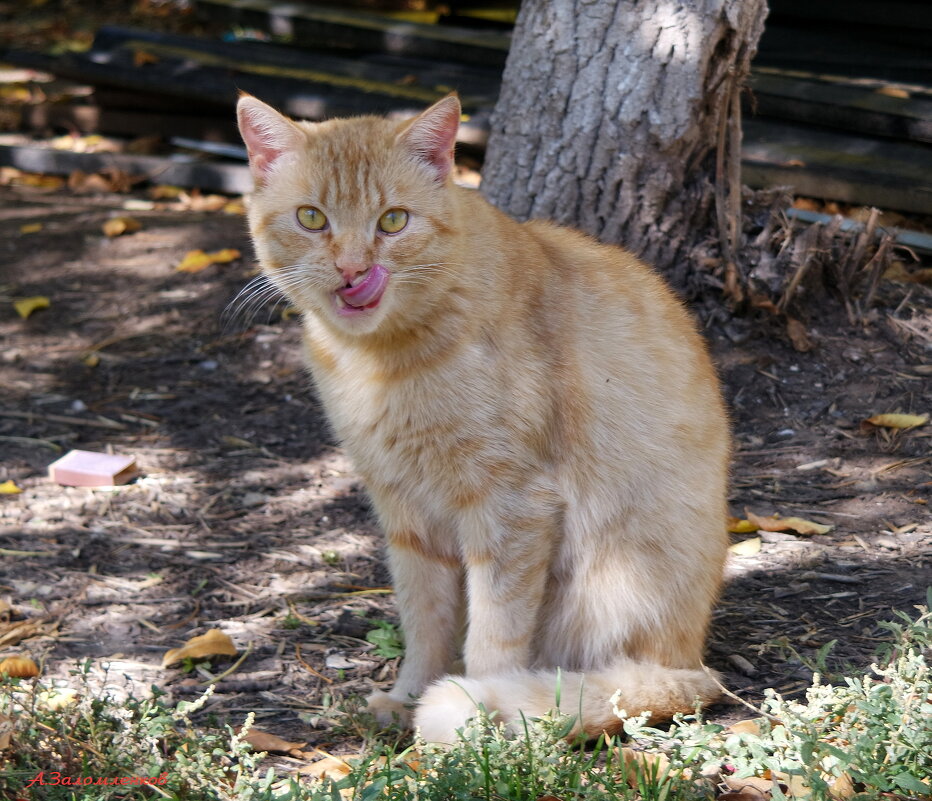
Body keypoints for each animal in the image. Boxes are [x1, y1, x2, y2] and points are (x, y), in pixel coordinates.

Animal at [235, 90, 728, 740]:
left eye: (392, 221)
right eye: (312, 218)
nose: (352, 269)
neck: (379, 362)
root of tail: (696, 664)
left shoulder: (511, 508)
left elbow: (494, 633)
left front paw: (475, 721)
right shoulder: (405, 512)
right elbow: (426, 620)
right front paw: (410, 696)